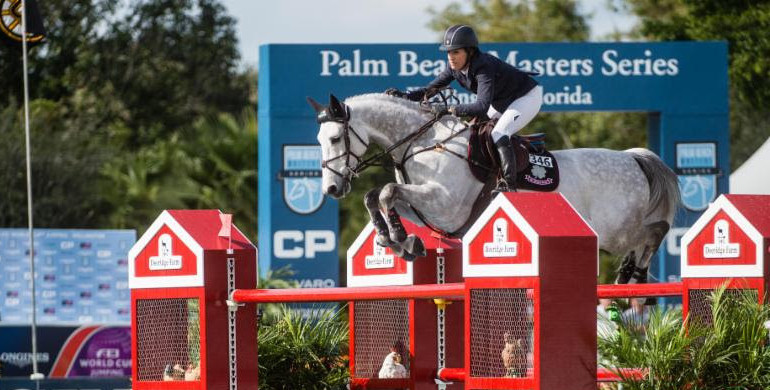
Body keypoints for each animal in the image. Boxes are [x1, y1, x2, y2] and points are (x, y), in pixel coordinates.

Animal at [308, 94, 680, 284]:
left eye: (335, 138)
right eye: (319, 140)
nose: (332, 189)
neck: (424, 142)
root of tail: (634, 158)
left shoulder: (446, 205)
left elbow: (386, 192)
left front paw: (399, 238)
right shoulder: (428, 206)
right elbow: (378, 196)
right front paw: (397, 239)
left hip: (617, 231)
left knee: (656, 230)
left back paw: (637, 274)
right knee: (643, 240)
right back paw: (628, 275)